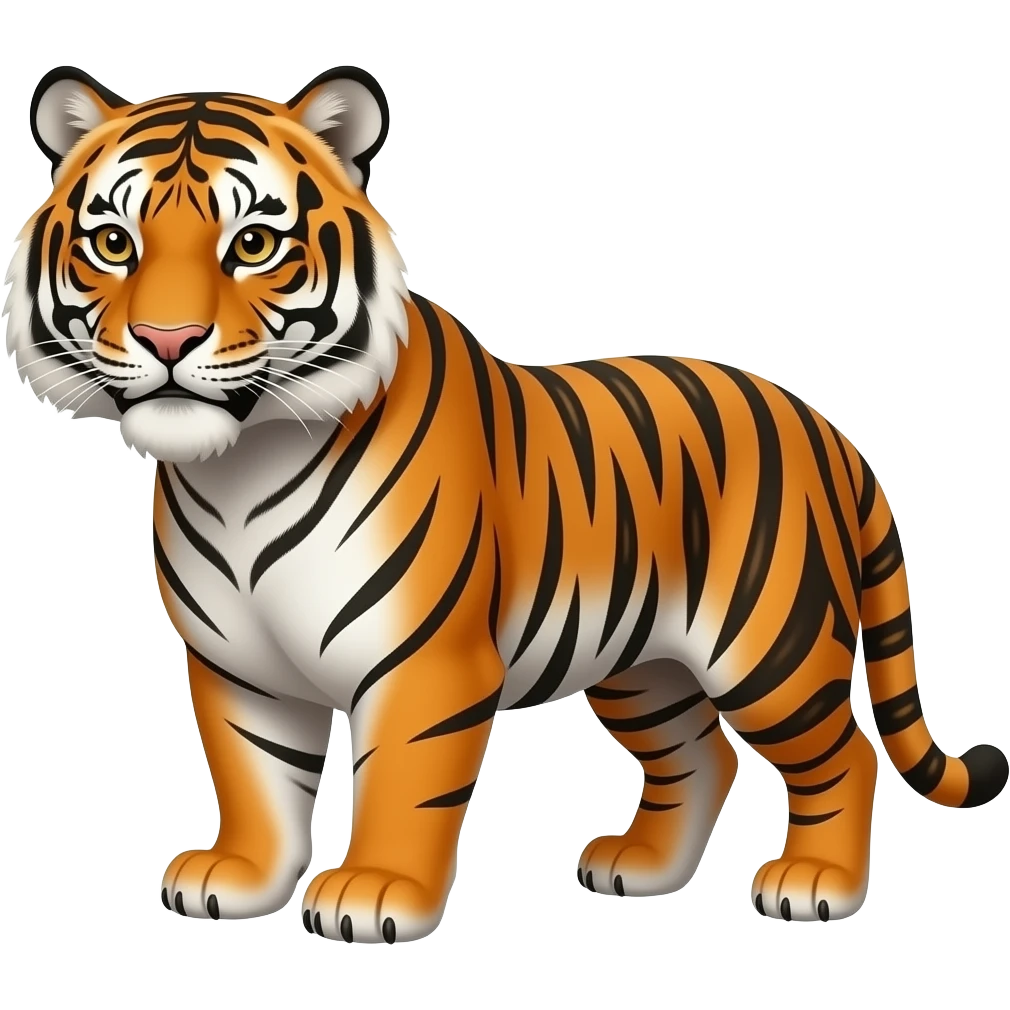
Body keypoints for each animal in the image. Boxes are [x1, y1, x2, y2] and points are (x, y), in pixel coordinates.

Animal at [4, 64, 1006, 944]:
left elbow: (405, 784)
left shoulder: (424, 662)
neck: (237, 468)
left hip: (768, 645)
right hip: (642, 662)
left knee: (844, 752)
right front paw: (240, 877)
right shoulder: (240, 664)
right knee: (702, 753)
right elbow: (256, 778)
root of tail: (820, 422)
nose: (166, 337)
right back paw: (641, 868)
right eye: (113, 243)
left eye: (252, 244)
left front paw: (373, 893)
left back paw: (817, 883)